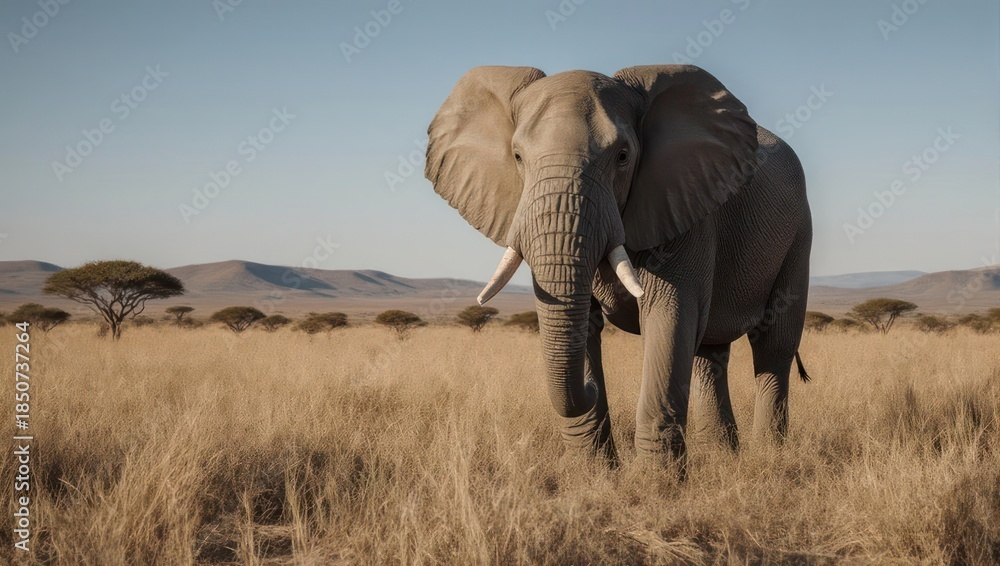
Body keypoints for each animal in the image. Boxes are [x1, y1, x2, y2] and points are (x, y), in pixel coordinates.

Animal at [424, 64, 812, 469]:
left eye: (622, 156)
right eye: (517, 156)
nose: (591, 387)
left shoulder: (685, 202)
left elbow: (669, 314)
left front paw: (657, 480)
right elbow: (586, 323)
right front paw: (594, 474)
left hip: (799, 232)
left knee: (773, 347)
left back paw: (768, 455)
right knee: (710, 354)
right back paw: (724, 456)